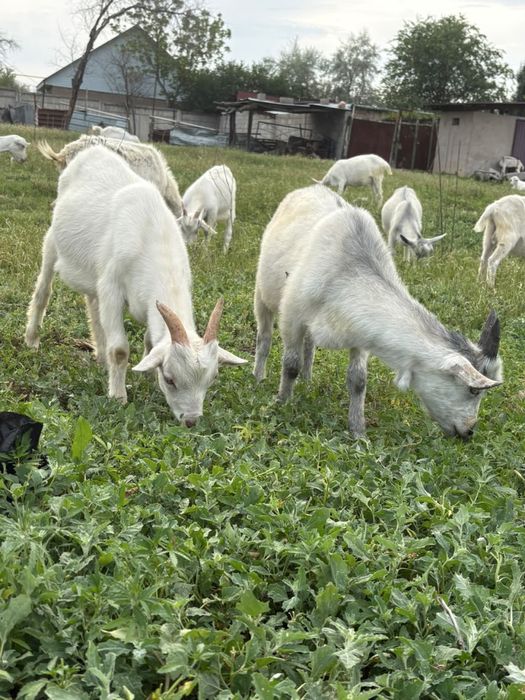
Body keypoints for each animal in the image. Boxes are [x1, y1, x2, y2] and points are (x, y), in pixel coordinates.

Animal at [25, 146, 246, 426]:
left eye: (212, 379)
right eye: (171, 379)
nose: (191, 420)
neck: (155, 242)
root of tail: (92, 150)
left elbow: (150, 340)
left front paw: (146, 375)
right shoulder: (112, 288)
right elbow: (120, 349)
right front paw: (118, 396)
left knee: (93, 306)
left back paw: (100, 356)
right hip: (53, 241)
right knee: (44, 290)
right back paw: (32, 339)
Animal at [255, 187, 502, 438]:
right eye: (473, 390)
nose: (469, 431)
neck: (346, 276)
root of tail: (310, 189)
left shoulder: (360, 332)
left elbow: (358, 380)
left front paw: (358, 431)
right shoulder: (292, 315)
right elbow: (291, 364)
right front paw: (282, 403)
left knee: (309, 344)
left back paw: (307, 380)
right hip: (262, 293)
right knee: (265, 337)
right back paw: (258, 376)